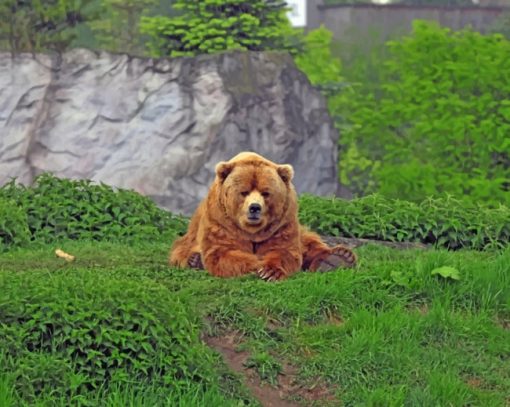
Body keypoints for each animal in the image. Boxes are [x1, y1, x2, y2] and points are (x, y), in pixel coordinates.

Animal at [169, 151, 356, 282]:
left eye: (266, 193)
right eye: (244, 192)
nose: (254, 208)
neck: (252, 231)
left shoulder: (282, 224)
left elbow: (284, 251)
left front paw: (270, 271)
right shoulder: (220, 222)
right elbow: (223, 252)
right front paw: (257, 265)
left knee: (310, 241)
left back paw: (338, 258)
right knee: (181, 250)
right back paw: (194, 260)